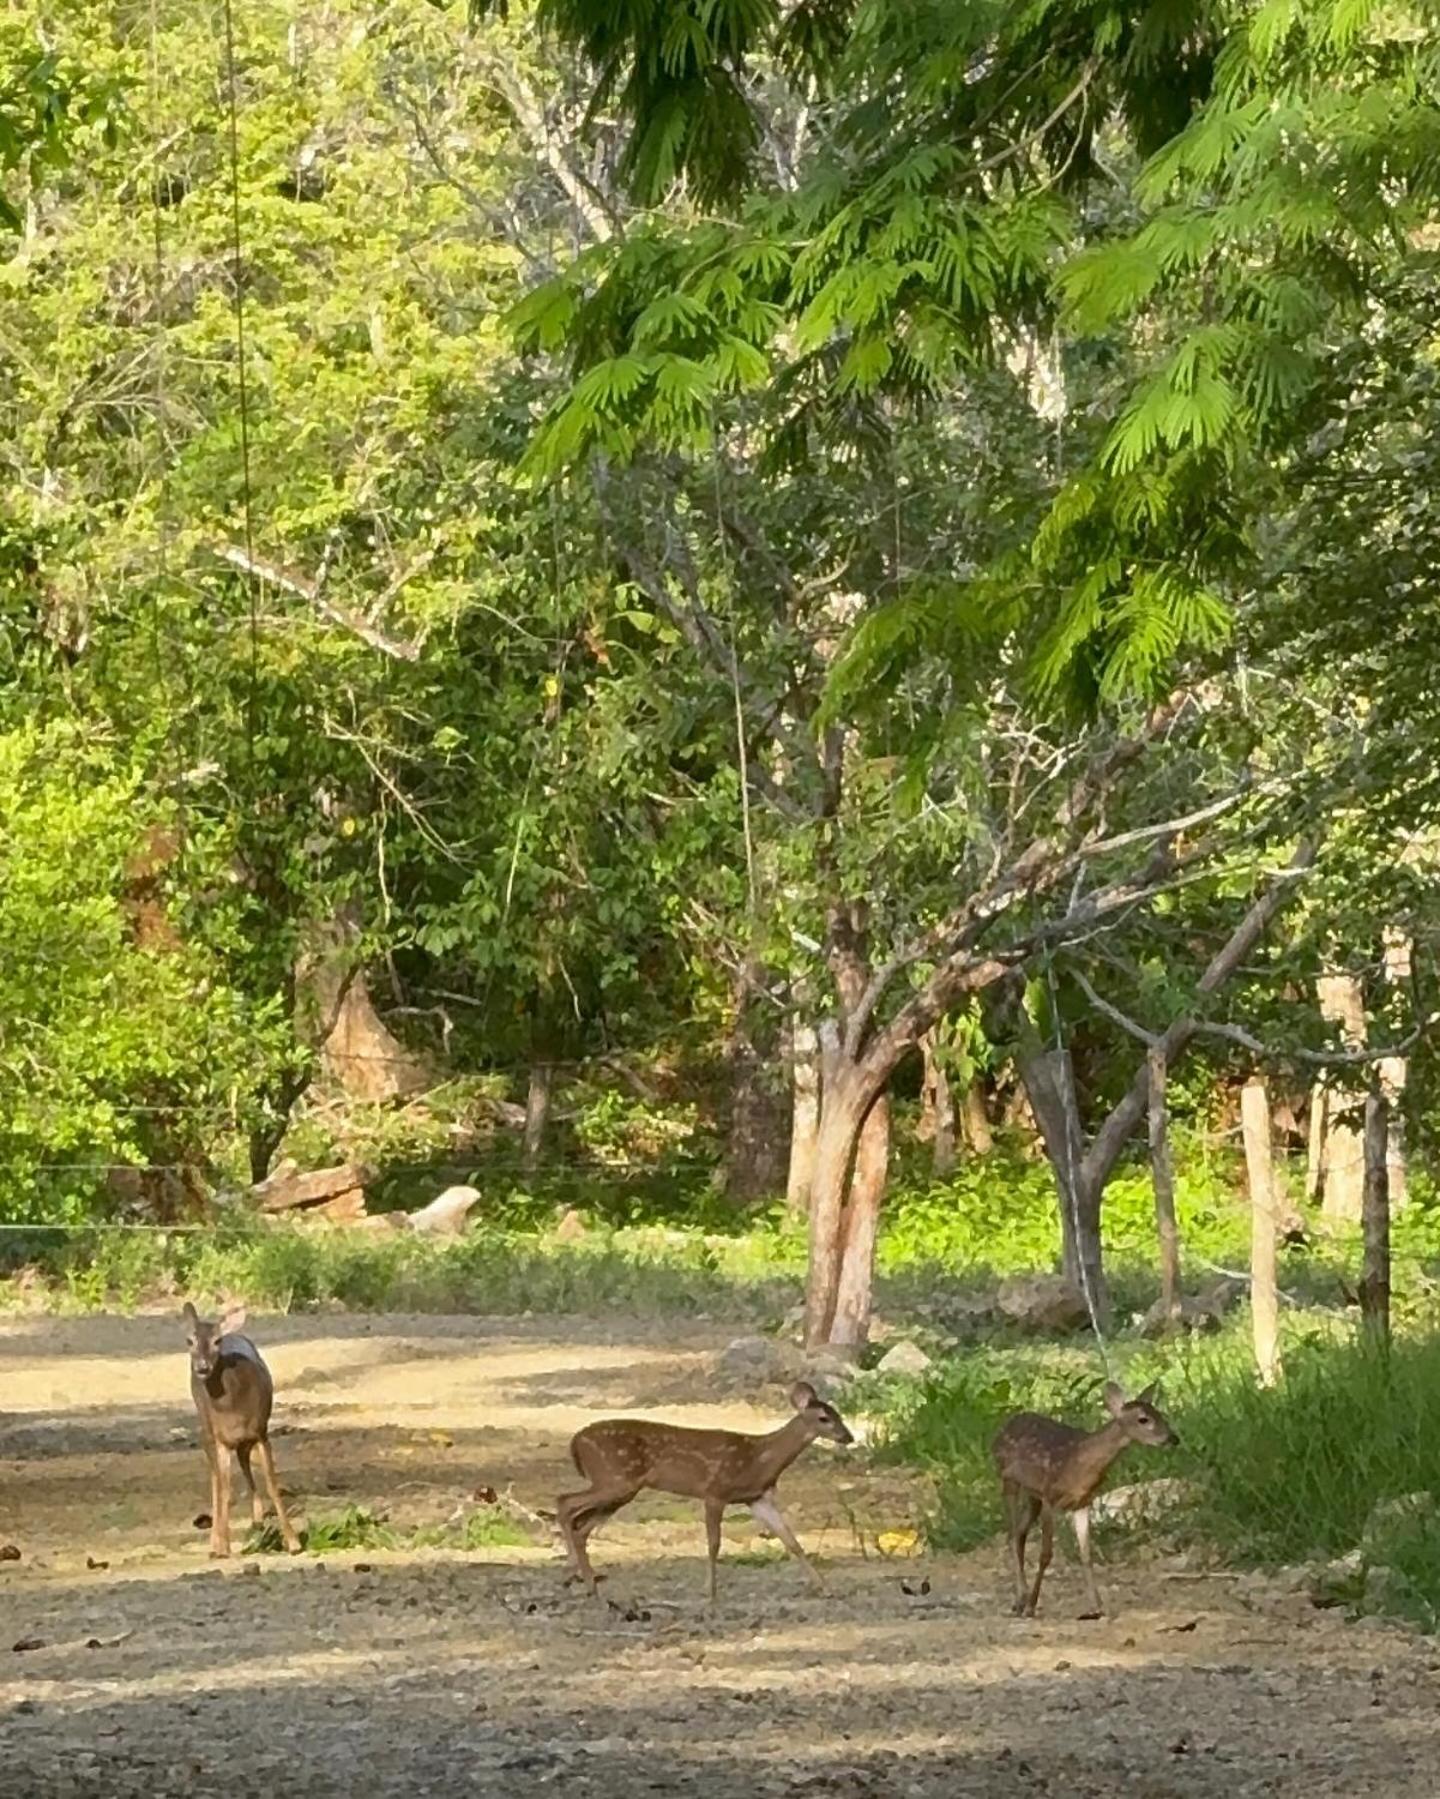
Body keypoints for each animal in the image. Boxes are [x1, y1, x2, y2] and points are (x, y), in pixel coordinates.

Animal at [183, 1302, 302, 1559]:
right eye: (189, 1340)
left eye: (217, 1340)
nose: (202, 1367)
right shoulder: (221, 1439)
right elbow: (225, 1490)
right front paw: (223, 1547)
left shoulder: (260, 1432)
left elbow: (272, 1486)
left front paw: (293, 1542)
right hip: (207, 1431)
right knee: (216, 1480)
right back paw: (215, 1544)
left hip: (244, 1441)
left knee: (244, 1467)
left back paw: (257, 1522)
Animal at [557, 1380, 853, 1602]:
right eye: (824, 1418)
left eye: (839, 1414)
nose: (848, 1437)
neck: (758, 1459)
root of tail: (575, 1442)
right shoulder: (715, 1491)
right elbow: (713, 1544)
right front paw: (710, 1592)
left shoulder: (757, 1498)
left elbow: (792, 1541)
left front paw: (827, 1588)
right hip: (614, 1479)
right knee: (565, 1501)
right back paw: (574, 1572)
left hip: (620, 1489)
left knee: (580, 1524)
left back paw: (588, 1583)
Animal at [992, 1380, 1177, 1618]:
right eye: (1143, 1419)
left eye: (1159, 1413)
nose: (1173, 1438)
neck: (1081, 1464)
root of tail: (1001, 1431)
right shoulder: (1050, 1498)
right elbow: (1045, 1554)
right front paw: (1032, 1606)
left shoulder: (1082, 1503)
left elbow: (1086, 1554)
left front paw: (1097, 1607)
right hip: (1008, 1478)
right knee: (1013, 1534)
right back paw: (1021, 1599)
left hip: (1033, 1496)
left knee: (1020, 1532)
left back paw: (1020, 1599)